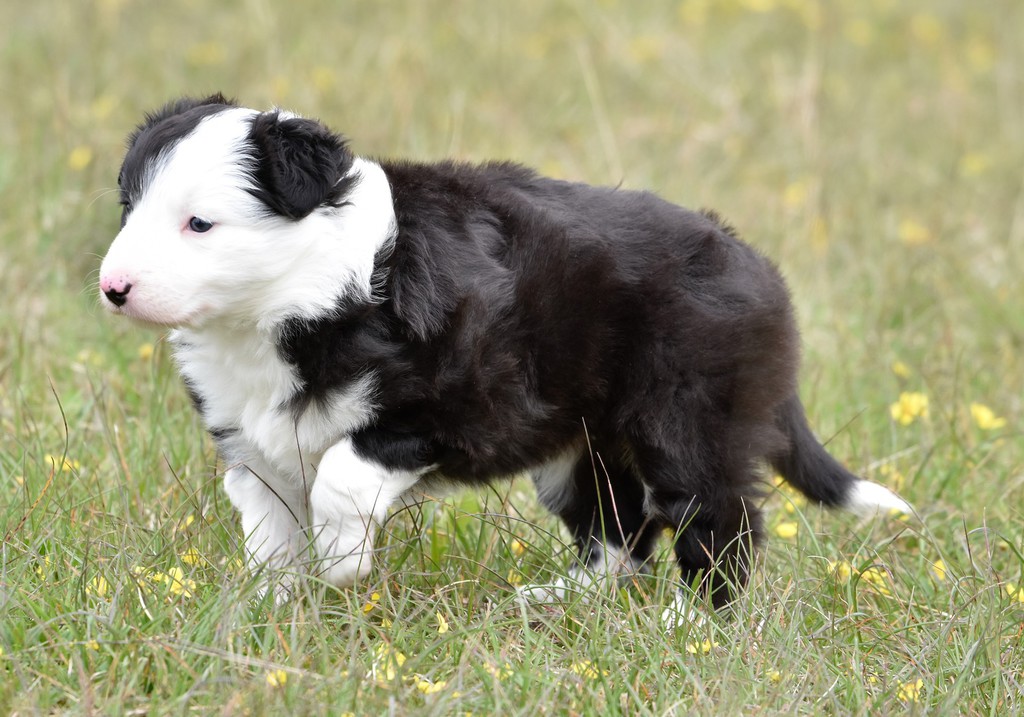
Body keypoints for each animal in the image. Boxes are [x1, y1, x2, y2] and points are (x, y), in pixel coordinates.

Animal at [99, 94, 910, 616]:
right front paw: (272, 612)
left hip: (688, 420)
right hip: (582, 447)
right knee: (621, 532)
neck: (295, 298)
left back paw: (696, 626)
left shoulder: (456, 404)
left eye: (200, 224)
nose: (113, 288)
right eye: (128, 209)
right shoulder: (254, 440)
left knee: (718, 522)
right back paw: (559, 599)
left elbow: (341, 474)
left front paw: (343, 561)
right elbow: (270, 531)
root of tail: (761, 271)